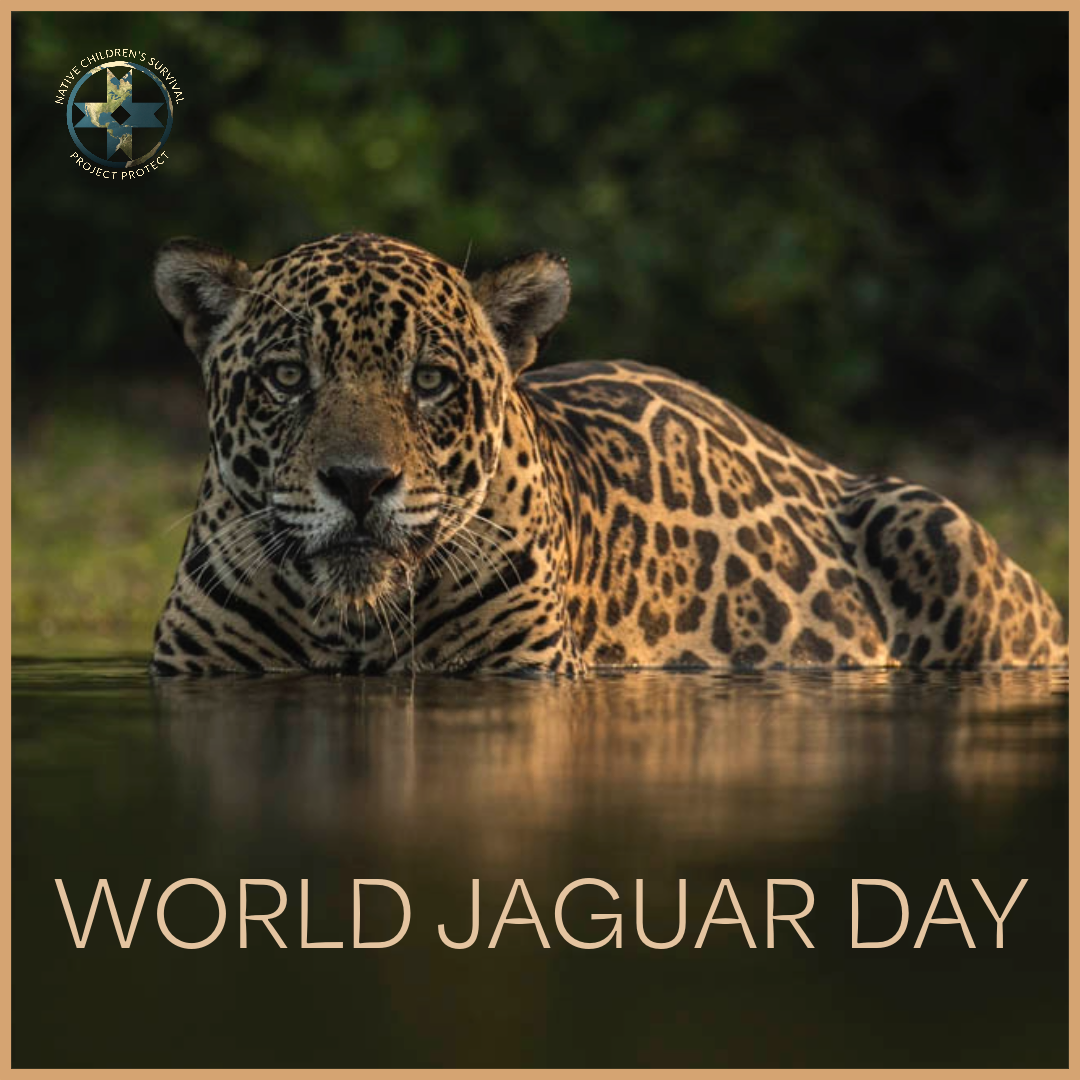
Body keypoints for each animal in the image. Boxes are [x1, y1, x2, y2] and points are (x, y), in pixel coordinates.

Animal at [150, 230, 1068, 676]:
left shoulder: (521, 670)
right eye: (286, 376)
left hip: (930, 520)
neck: (354, 622)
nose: (360, 482)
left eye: (431, 380)